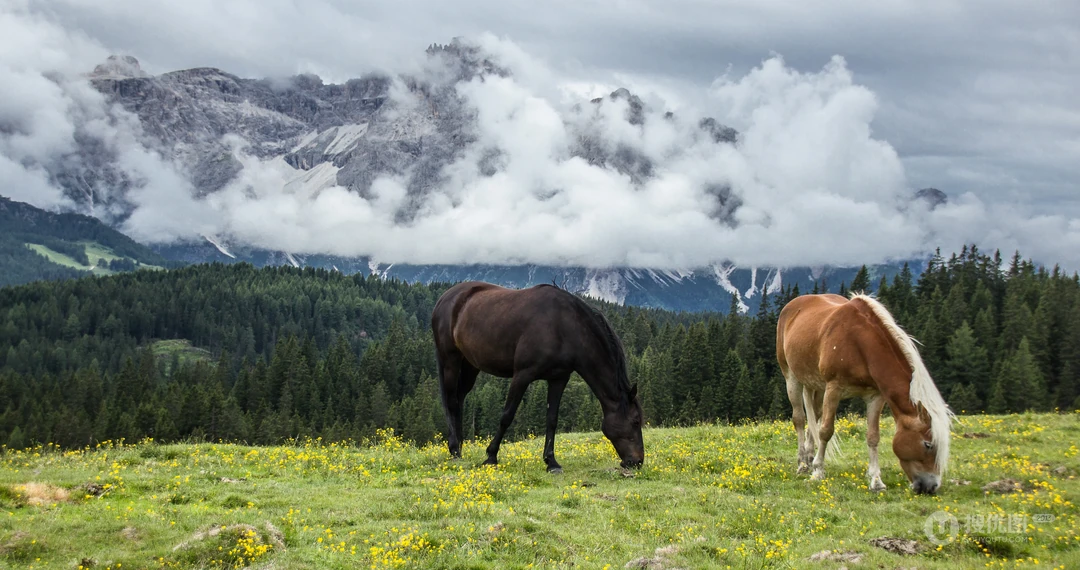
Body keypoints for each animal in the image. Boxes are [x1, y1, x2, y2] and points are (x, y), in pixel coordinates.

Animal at [431, 280, 644, 473]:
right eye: (635, 421)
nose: (637, 461)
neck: (564, 326)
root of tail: (445, 298)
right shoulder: (522, 375)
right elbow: (507, 416)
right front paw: (491, 456)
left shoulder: (558, 379)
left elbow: (552, 420)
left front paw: (551, 462)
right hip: (450, 360)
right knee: (451, 402)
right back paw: (455, 450)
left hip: (470, 365)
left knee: (459, 399)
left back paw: (460, 448)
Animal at [775, 293, 953, 494]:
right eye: (928, 444)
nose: (931, 486)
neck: (859, 343)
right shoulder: (834, 388)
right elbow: (826, 431)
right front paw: (818, 472)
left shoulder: (875, 396)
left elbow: (873, 437)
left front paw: (876, 480)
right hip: (791, 377)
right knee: (799, 419)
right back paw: (803, 464)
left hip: (816, 385)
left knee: (815, 416)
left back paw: (809, 457)